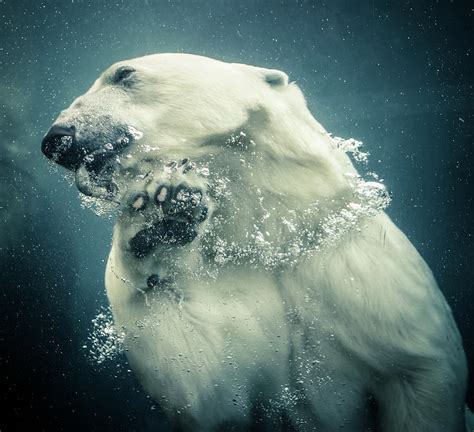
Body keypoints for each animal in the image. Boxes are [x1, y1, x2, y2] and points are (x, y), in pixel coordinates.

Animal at [42, 52, 472, 430]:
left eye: (124, 73)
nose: (55, 139)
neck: (270, 237)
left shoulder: (360, 275)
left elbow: (418, 374)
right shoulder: (228, 293)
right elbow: (207, 388)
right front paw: (159, 213)